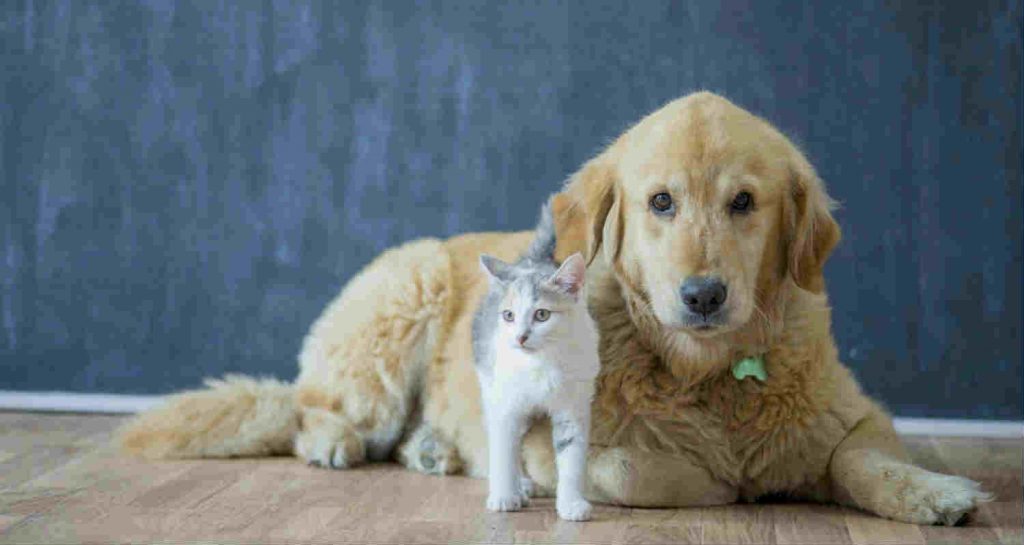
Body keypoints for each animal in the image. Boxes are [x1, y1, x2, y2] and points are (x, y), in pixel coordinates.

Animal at [471, 201, 598, 522]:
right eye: (508, 316)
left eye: (542, 314)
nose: (520, 337)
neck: (541, 363)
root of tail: (530, 260)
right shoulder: (505, 404)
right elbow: (503, 451)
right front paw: (504, 496)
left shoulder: (574, 407)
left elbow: (571, 458)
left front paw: (571, 504)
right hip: (490, 385)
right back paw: (521, 486)